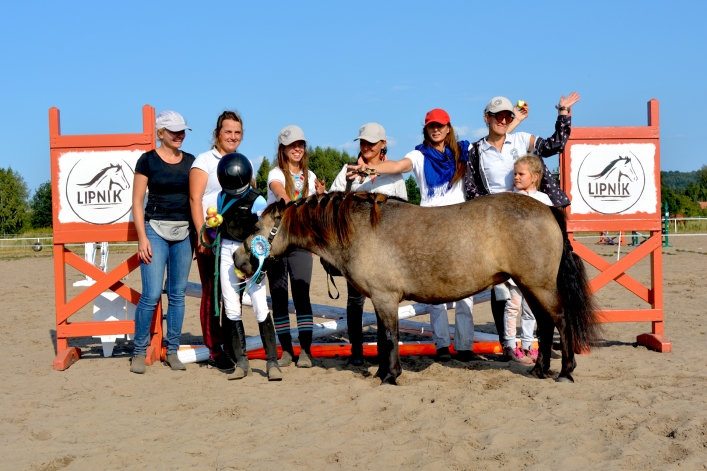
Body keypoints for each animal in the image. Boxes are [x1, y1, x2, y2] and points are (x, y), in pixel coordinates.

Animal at [233, 191, 599, 385]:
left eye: (259, 229)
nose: (238, 258)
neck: (359, 228)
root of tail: (547, 209)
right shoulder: (380, 300)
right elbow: (383, 338)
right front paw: (383, 371)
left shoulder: (385, 298)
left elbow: (390, 337)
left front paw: (390, 375)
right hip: (528, 285)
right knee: (546, 323)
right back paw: (539, 369)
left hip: (539, 285)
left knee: (561, 321)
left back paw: (564, 372)